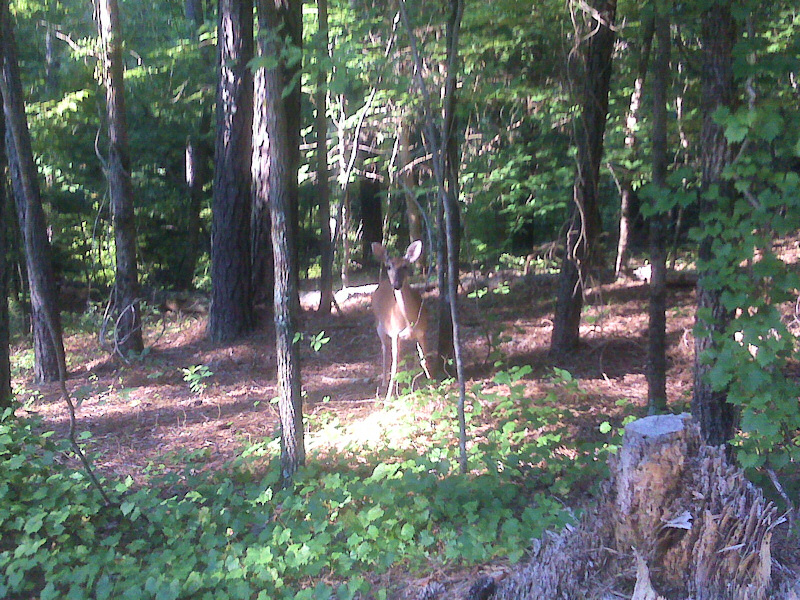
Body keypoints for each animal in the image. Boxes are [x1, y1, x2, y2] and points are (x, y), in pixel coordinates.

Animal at [371, 240, 432, 401]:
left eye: (405, 266)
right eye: (388, 266)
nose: (396, 284)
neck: (409, 320)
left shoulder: (422, 332)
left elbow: (424, 360)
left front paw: (433, 386)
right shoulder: (395, 334)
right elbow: (394, 366)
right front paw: (387, 399)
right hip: (379, 325)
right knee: (385, 350)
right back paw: (384, 383)